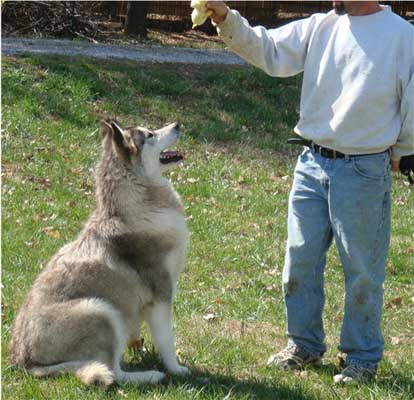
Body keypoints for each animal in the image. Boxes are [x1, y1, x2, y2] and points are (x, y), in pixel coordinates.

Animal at [8, 118, 189, 384]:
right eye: (150, 135)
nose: (177, 124)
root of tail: (22, 362)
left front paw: (139, 346)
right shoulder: (162, 296)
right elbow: (167, 342)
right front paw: (176, 369)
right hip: (103, 312)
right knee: (114, 373)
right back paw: (150, 376)